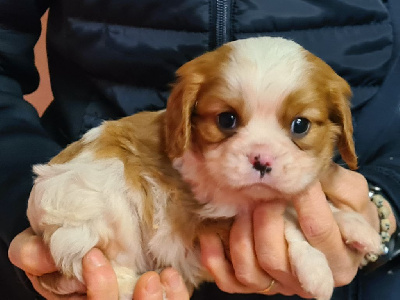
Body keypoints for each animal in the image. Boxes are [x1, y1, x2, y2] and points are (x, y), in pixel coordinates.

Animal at [27, 37, 382, 300]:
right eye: (227, 120)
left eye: (300, 125)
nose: (261, 159)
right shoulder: (207, 215)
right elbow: (286, 223)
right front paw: (315, 268)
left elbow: (299, 208)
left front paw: (357, 227)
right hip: (102, 207)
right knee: (91, 261)